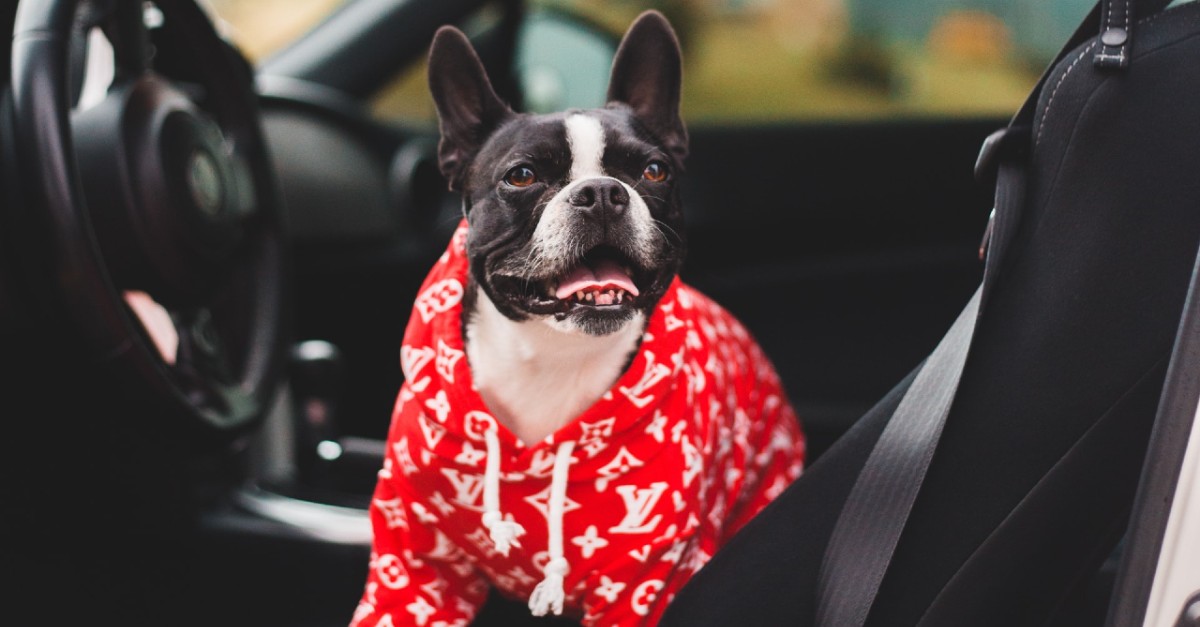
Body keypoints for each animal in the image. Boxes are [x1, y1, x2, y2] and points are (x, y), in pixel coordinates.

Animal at [352, 10, 806, 624]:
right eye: (521, 176)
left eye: (655, 170)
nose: (601, 192)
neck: (551, 355)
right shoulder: (417, 561)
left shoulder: (643, 579)